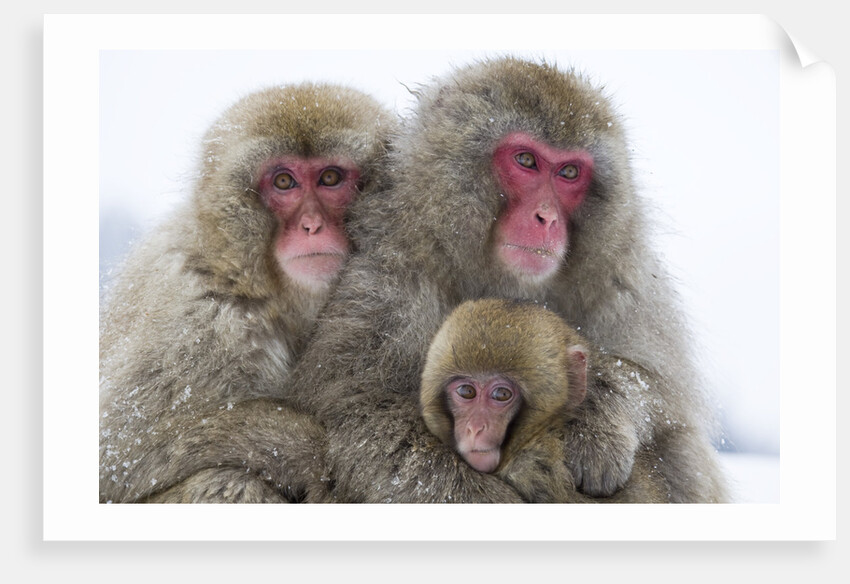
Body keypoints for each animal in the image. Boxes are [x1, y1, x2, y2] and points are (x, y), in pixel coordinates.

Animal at [99, 83, 396, 503]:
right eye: (284, 182)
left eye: (330, 177)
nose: (311, 225)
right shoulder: (197, 328)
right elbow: (117, 457)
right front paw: (307, 451)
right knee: (227, 480)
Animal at [282, 57, 729, 503]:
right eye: (526, 161)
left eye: (569, 171)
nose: (546, 218)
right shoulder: (387, 282)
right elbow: (365, 415)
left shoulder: (620, 276)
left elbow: (658, 390)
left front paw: (598, 419)